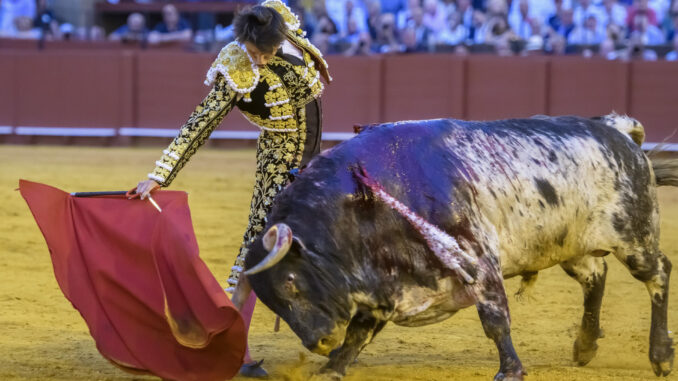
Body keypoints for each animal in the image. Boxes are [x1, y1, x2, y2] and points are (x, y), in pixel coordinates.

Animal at [242, 114, 676, 378]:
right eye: (273, 302)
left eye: (291, 282)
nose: (318, 342)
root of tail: (617, 129)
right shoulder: (383, 285)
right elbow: (358, 333)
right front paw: (331, 367)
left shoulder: (478, 258)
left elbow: (495, 318)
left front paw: (510, 370)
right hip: (567, 245)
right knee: (595, 277)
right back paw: (584, 347)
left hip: (634, 237)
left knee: (657, 274)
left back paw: (660, 356)